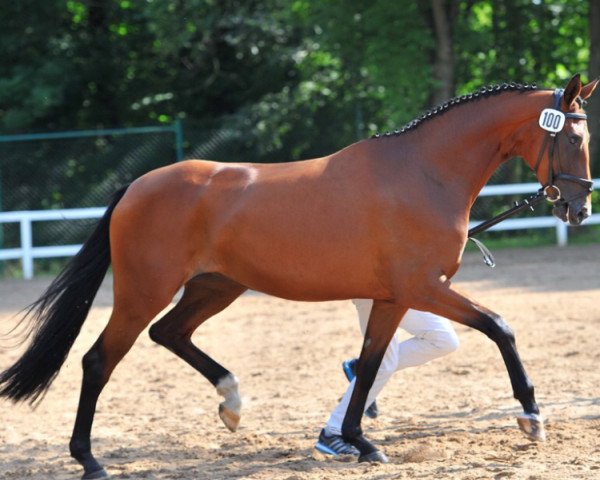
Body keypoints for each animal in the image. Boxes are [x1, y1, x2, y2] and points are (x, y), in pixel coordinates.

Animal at [2, 73, 596, 478]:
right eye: (573, 139)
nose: (579, 209)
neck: (424, 173)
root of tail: (135, 186)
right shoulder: (424, 288)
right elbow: (500, 327)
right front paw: (532, 416)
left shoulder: (392, 298)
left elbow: (371, 363)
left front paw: (359, 441)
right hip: (142, 291)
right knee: (99, 360)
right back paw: (90, 460)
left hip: (216, 286)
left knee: (169, 333)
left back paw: (232, 403)